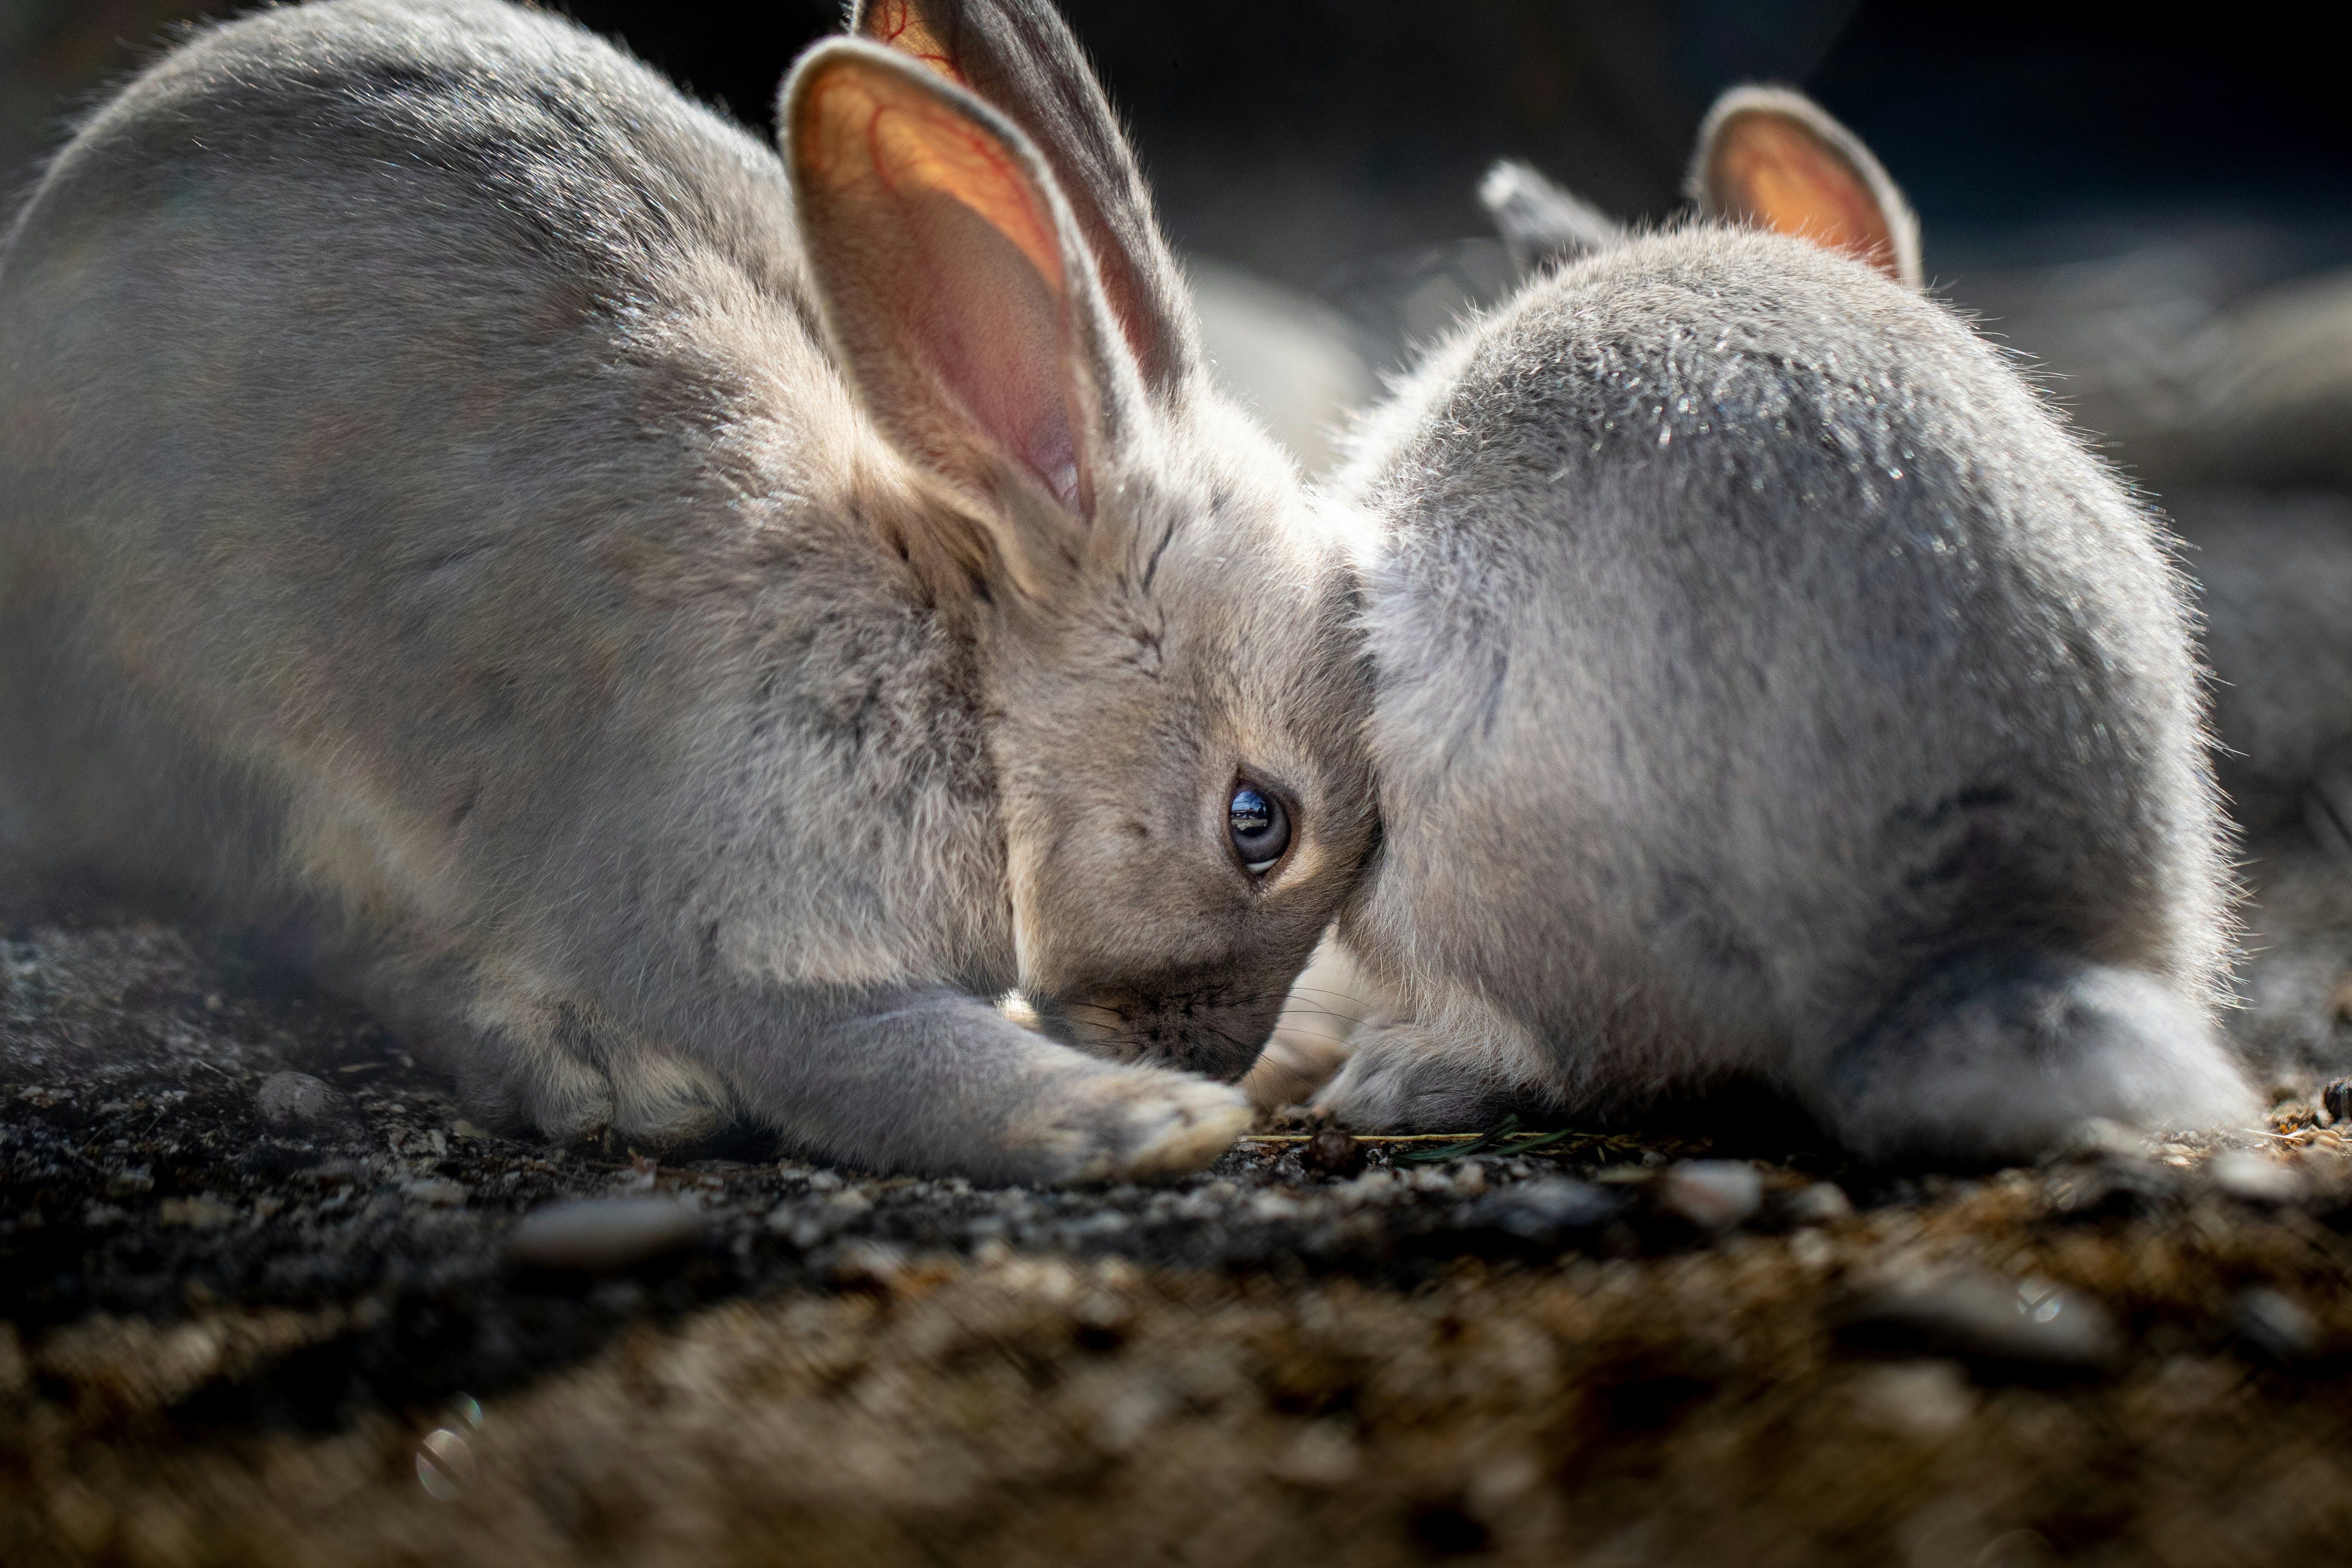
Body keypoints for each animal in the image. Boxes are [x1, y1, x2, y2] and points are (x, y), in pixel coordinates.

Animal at [0, 0, 1377, 1184]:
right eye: (1258, 824)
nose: (1216, 1060)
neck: (969, 672)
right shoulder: (738, 909)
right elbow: (870, 1051)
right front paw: (1139, 1122)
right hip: (229, 736)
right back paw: (597, 1067)